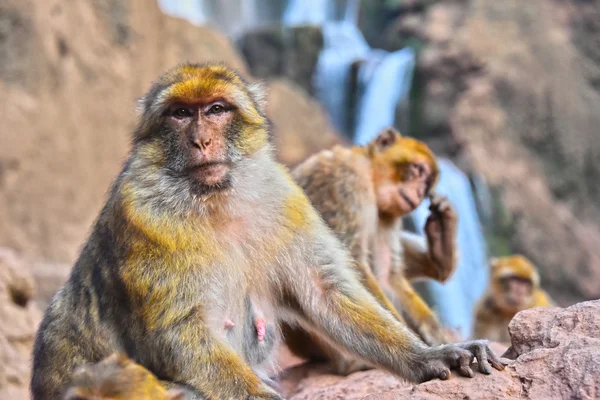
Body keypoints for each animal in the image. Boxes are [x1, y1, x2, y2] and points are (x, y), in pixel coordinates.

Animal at [30, 62, 504, 400]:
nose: (201, 140)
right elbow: (176, 330)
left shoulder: (286, 200)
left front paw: (429, 354)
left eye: (216, 109)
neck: (215, 200)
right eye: (180, 114)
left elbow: (325, 292)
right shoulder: (142, 217)